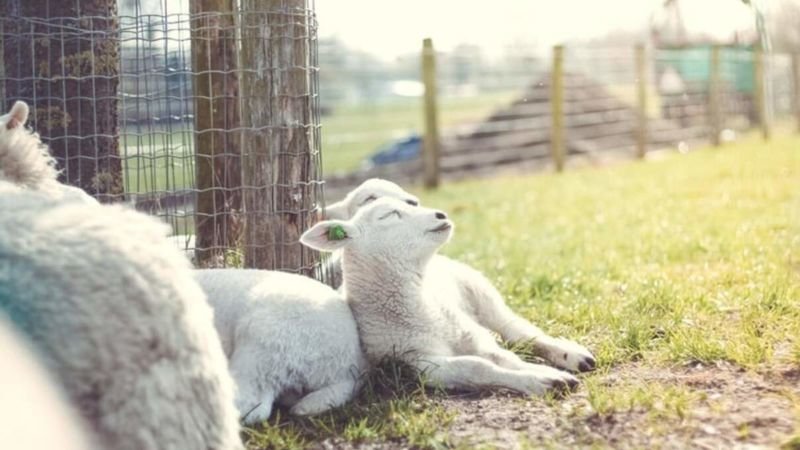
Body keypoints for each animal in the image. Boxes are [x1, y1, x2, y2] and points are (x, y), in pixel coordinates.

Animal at [300, 199, 588, 396]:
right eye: (389, 215)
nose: (441, 214)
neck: (421, 311)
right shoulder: (421, 364)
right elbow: (478, 367)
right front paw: (544, 380)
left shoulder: (471, 335)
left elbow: (505, 358)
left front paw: (546, 373)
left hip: (480, 291)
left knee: (519, 332)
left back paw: (572, 355)